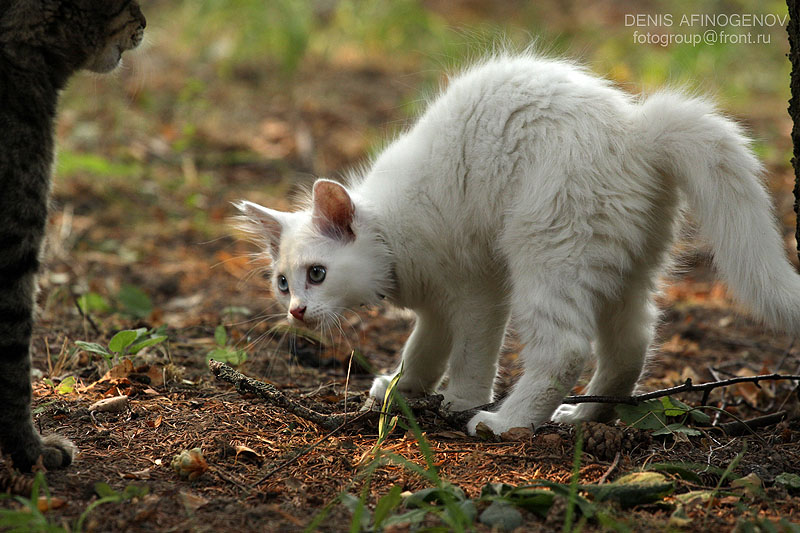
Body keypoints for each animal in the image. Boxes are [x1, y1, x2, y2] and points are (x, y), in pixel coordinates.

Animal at [236, 54, 800, 436]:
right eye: (282, 282)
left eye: (317, 273)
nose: (296, 310)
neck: (392, 232)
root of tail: (636, 134)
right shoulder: (436, 309)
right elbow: (422, 351)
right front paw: (401, 390)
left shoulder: (478, 293)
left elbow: (470, 358)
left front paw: (459, 401)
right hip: (624, 269)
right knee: (632, 344)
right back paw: (584, 416)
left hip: (549, 254)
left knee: (565, 349)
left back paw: (507, 423)